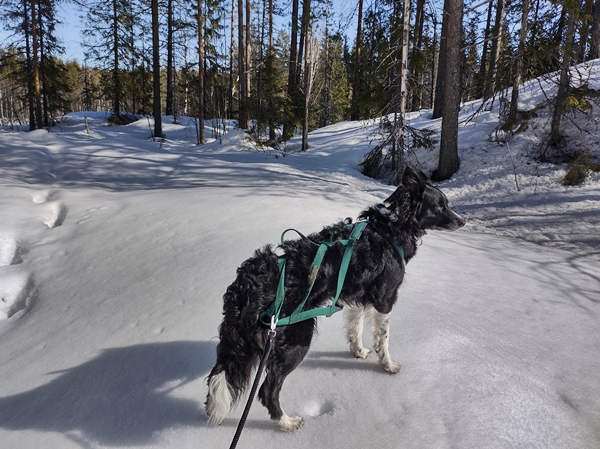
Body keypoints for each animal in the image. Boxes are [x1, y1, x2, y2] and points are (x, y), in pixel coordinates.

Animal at [205, 164, 464, 430]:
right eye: (441, 205)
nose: (463, 221)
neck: (390, 228)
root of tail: (246, 283)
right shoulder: (385, 299)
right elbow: (384, 339)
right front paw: (388, 365)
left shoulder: (356, 296)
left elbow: (355, 329)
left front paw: (358, 352)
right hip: (298, 335)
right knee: (267, 390)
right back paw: (287, 422)